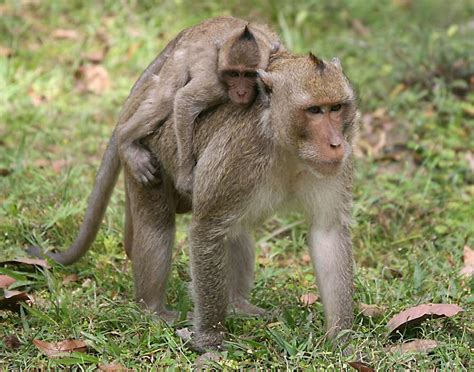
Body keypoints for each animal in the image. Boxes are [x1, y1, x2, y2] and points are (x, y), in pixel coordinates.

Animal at [117, 16, 282, 192]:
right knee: (164, 100)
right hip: (179, 58)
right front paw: (186, 174)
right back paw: (124, 139)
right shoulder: (215, 85)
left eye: (249, 75)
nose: (241, 92)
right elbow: (184, 99)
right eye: (234, 74)